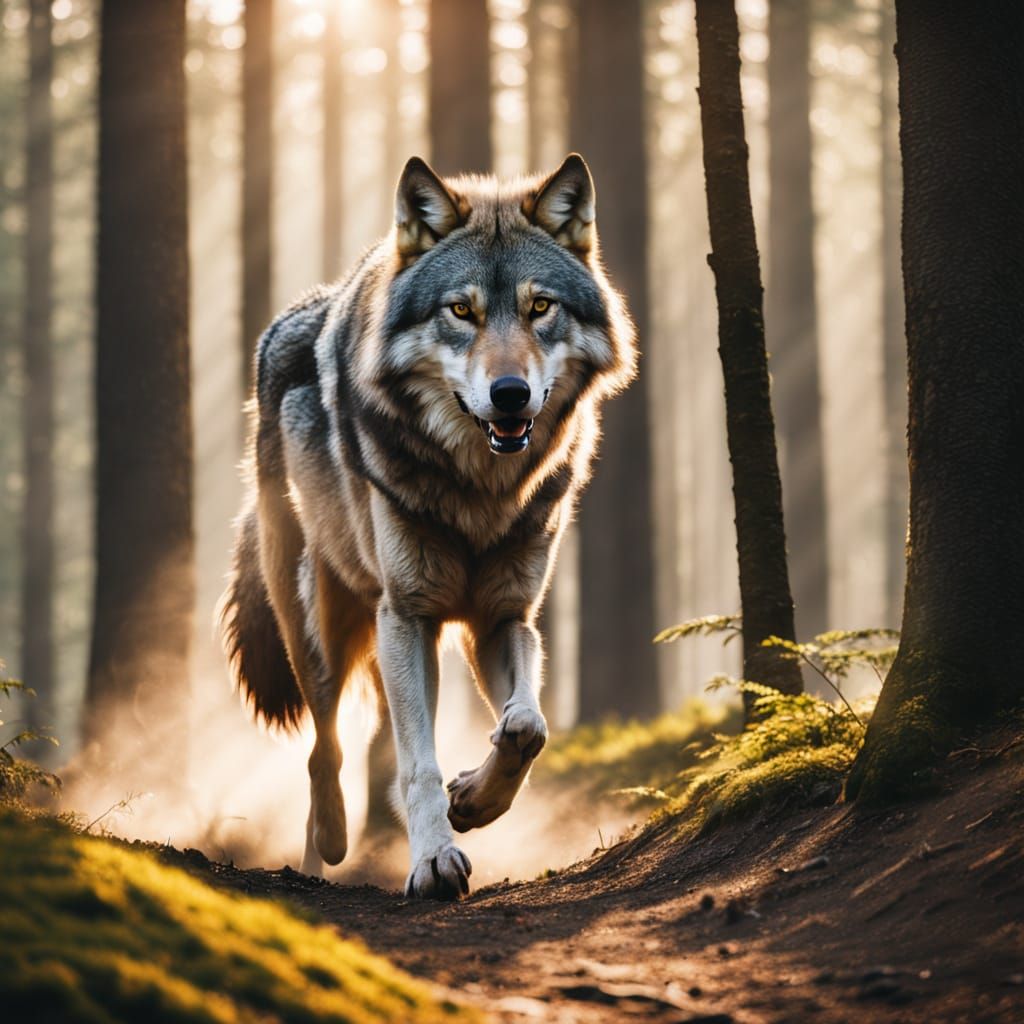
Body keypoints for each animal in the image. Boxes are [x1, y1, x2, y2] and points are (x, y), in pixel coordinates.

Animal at [218, 153, 636, 899]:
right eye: (461, 311)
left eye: (540, 307)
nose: (510, 395)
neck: (481, 492)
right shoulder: (409, 613)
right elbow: (420, 763)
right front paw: (435, 859)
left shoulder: (502, 617)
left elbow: (528, 725)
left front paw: (473, 797)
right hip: (324, 628)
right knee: (325, 747)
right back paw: (329, 844)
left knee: (375, 741)